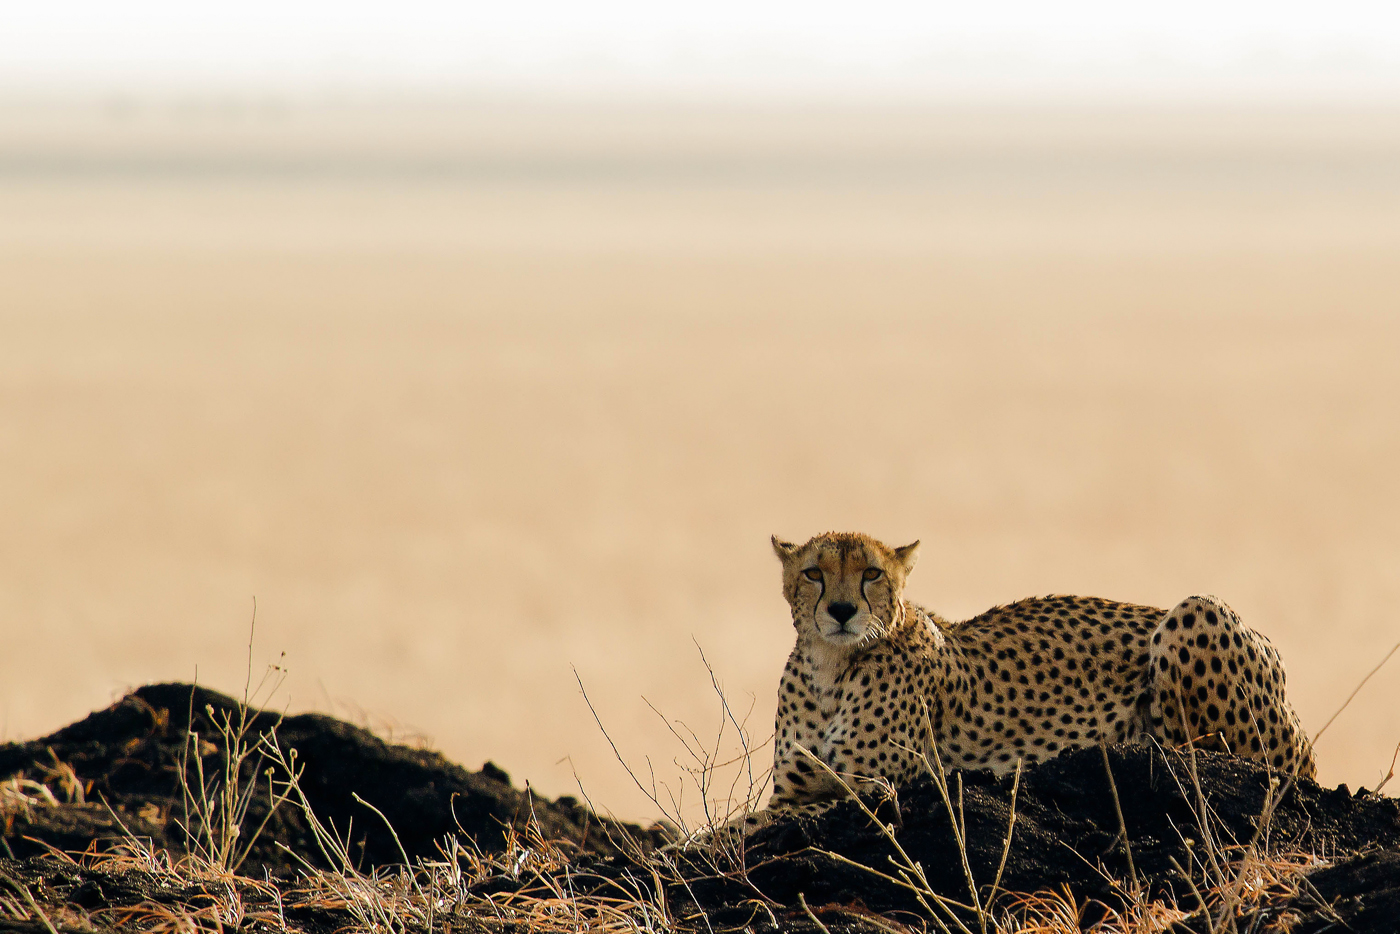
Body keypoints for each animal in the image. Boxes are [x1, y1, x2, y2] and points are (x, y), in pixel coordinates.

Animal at [742, 530, 1315, 832]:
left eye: (871, 574)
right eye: (814, 573)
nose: (841, 611)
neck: (830, 667)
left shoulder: (877, 789)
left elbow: (745, 825)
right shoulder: (796, 791)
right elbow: (755, 820)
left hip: (1197, 612)